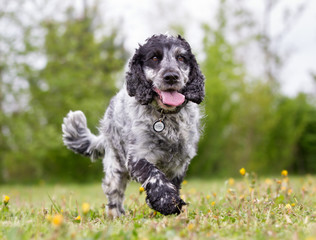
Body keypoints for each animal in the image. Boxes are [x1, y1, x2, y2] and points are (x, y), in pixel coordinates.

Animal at [61, 34, 205, 218]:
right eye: (154, 58)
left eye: (181, 58)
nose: (171, 76)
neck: (165, 117)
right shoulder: (138, 155)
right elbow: (154, 175)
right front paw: (167, 202)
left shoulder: (180, 161)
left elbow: (173, 183)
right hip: (115, 168)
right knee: (114, 195)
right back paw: (116, 216)